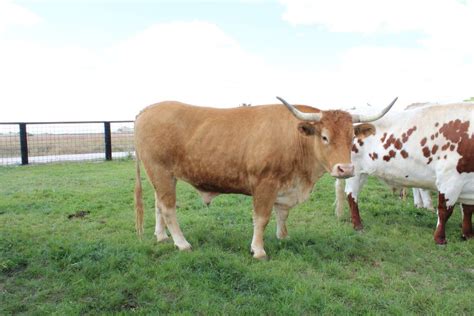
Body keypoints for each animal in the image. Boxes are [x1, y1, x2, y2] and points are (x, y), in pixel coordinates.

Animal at [134, 97, 396, 260]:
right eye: (324, 136)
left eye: (352, 136)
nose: (345, 169)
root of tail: (148, 109)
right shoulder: (264, 184)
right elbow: (261, 219)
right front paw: (258, 250)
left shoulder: (285, 187)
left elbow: (282, 214)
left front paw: (284, 237)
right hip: (160, 171)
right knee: (168, 208)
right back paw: (182, 243)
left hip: (162, 176)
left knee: (158, 205)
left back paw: (161, 237)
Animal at [336, 103, 472, 244]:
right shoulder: (449, 179)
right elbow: (445, 211)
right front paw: (440, 239)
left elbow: (468, 210)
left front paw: (468, 235)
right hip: (355, 170)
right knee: (351, 194)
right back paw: (358, 225)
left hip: (362, 172)